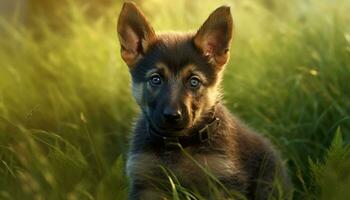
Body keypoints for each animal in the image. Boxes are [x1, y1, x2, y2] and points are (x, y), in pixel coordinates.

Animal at [117, 1, 290, 200]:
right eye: (155, 79)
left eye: (194, 81)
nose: (172, 116)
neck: (177, 145)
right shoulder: (145, 182)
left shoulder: (224, 182)